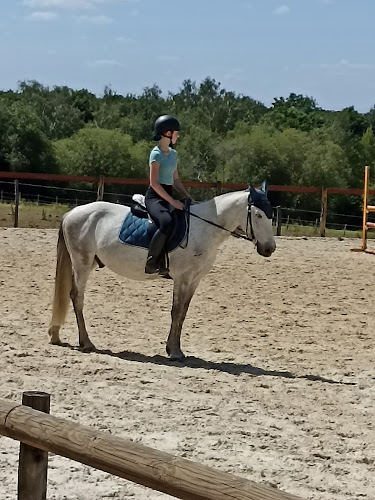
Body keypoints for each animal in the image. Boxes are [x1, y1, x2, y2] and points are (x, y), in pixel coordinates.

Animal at [47, 184, 276, 360]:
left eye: (271, 215)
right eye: (258, 215)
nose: (269, 249)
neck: (203, 227)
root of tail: (72, 213)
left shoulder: (194, 279)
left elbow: (183, 313)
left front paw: (175, 349)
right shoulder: (182, 278)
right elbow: (176, 311)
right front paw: (174, 352)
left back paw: (56, 335)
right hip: (82, 264)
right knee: (77, 297)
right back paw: (86, 342)